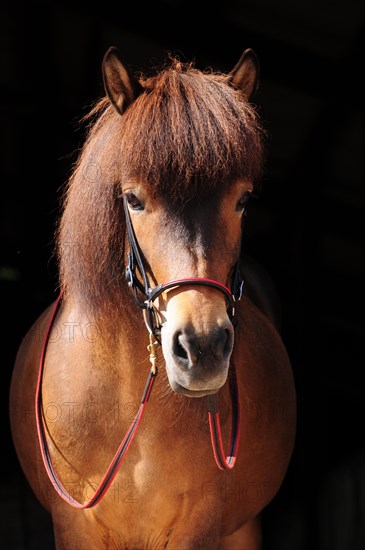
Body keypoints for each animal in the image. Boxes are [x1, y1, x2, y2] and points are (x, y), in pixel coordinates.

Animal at [9, 47, 296, 550]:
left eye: (241, 200)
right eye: (133, 199)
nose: (202, 348)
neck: (130, 406)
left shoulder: (200, 527)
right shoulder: (73, 526)